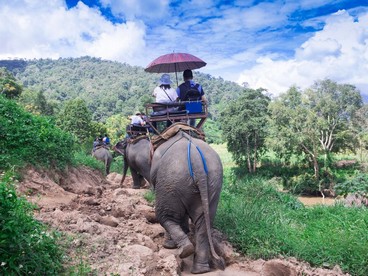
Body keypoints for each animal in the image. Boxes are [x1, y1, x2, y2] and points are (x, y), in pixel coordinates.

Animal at [150, 131, 224, 274]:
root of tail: (197, 161)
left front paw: (169, 246)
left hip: (171, 180)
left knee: (165, 216)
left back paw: (185, 250)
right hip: (213, 184)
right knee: (203, 223)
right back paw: (200, 270)